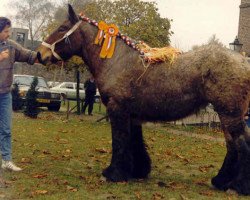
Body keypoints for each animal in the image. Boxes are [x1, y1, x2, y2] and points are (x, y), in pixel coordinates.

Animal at [37, 4, 250, 195]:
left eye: (62, 28)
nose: (40, 54)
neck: (117, 60)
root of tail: (243, 62)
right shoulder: (133, 115)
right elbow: (135, 141)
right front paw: (138, 171)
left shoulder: (117, 109)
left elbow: (119, 141)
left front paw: (113, 174)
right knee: (232, 146)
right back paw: (221, 181)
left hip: (229, 113)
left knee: (241, 144)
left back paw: (237, 186)